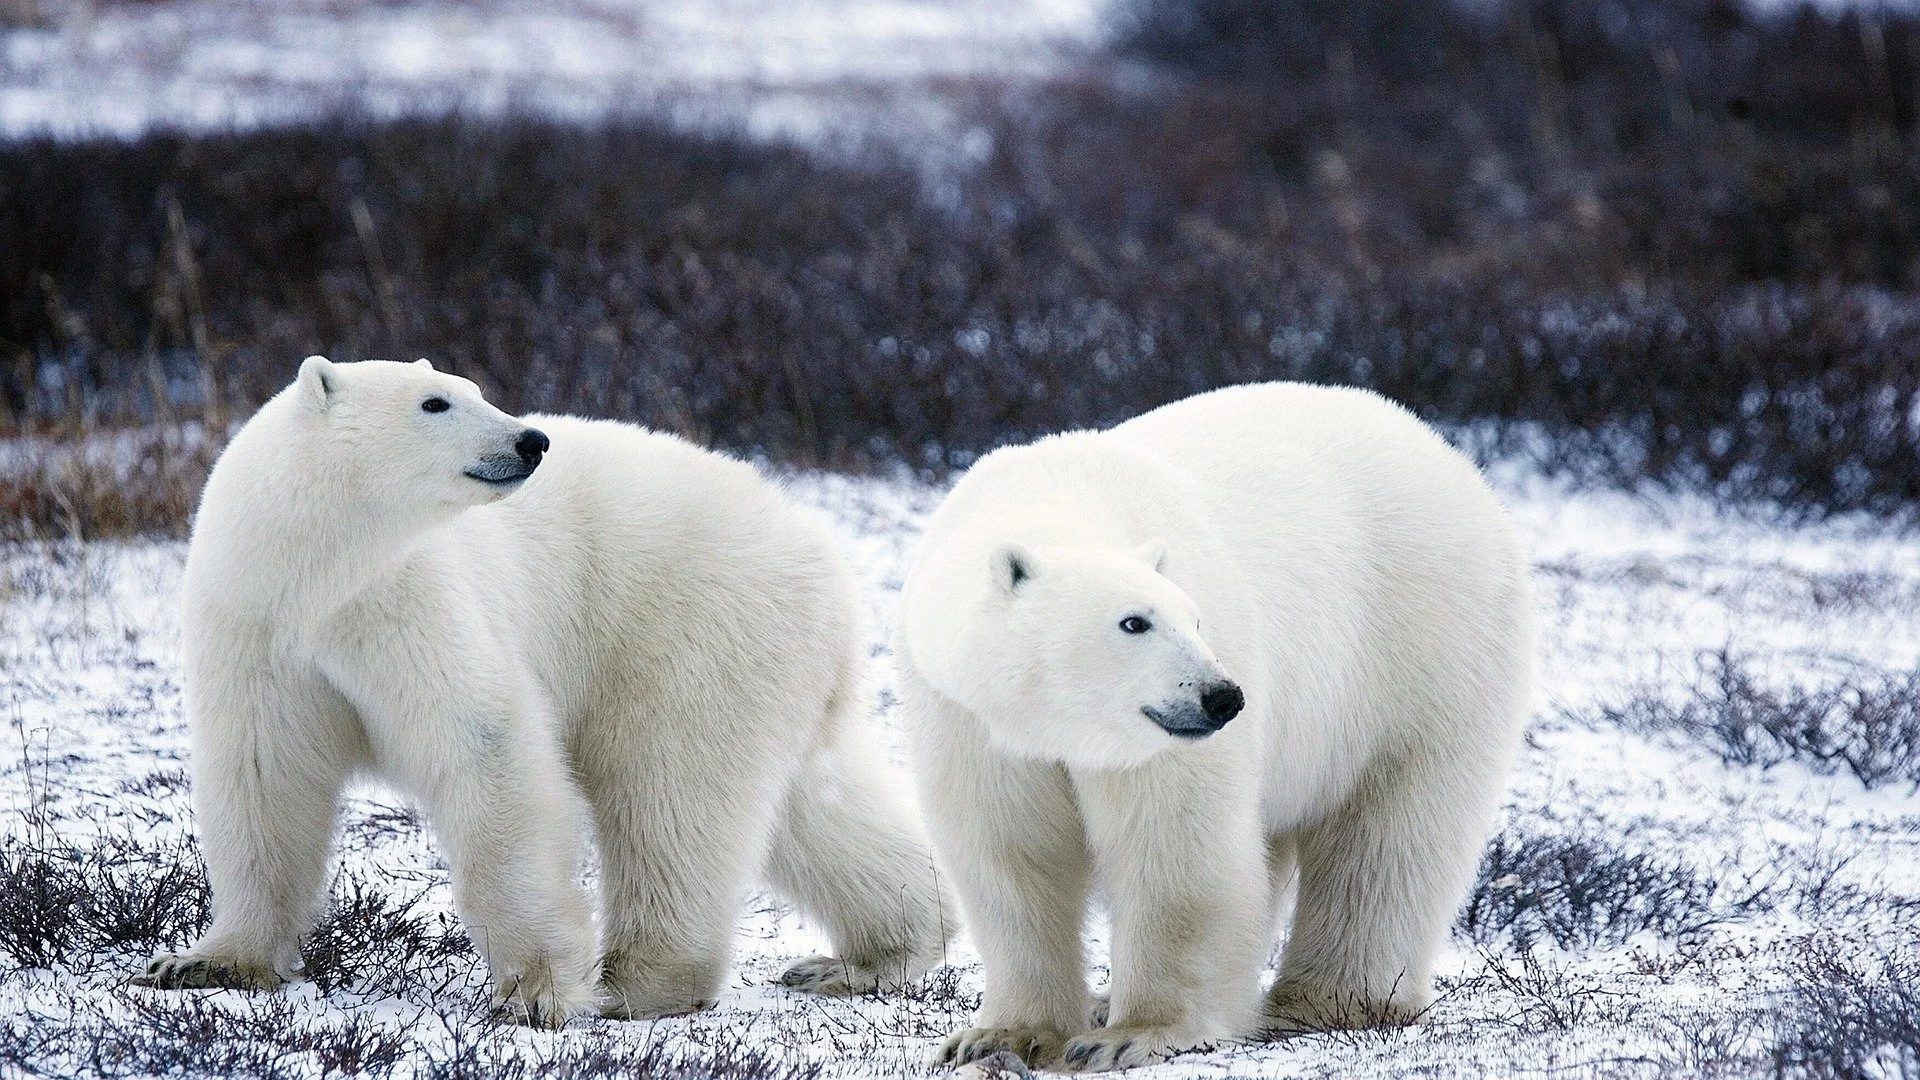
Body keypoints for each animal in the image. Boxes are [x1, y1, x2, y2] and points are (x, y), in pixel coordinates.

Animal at [133, 357, 944, 1022]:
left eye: (473, 388)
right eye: (435, 401)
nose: (531, 442)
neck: (318, 572)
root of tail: (822, 551)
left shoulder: (406, 600)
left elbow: (485, 745)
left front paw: (537, 991)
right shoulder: (258, 626)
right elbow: (263, 777)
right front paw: (203, 963)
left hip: (689, 627)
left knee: (668, 791)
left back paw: (638, 982)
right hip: (769, 658)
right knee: (811, 803)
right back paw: (870, 956)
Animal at [898, 380, 1528, 1068]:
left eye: (1195, 619)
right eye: (1135, 621)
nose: (1222, 697)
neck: (1059, 498)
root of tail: (1448, 454)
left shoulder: (1163, 743)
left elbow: (1176, 850)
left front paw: (1130, 1035)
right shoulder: (970, 717)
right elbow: (1010, 853)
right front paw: (999, 1036)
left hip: (1423, 652)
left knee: (1388, 837)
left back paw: (1325, 1001)